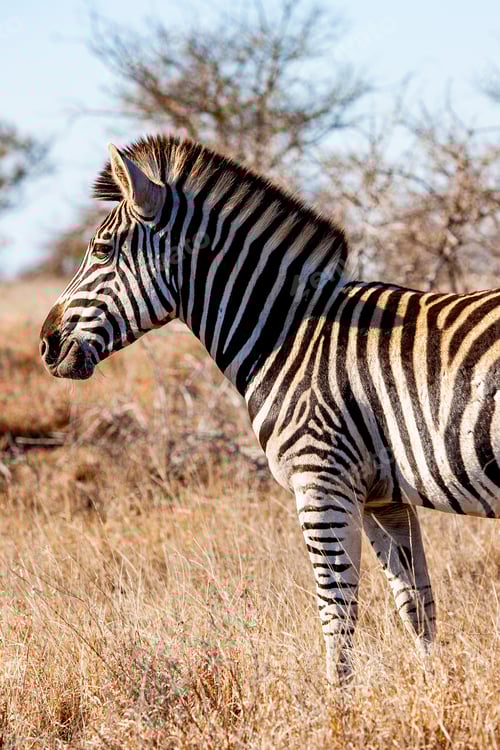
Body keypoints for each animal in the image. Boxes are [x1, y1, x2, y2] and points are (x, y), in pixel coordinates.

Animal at [40, 135, 500, 683]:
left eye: (102, 251)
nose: (46, 343)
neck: (287, 333)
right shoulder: (381, 496)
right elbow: (416, 609)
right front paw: (432, 691)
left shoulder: (321, 481)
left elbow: (336, 617)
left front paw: (338, 702)